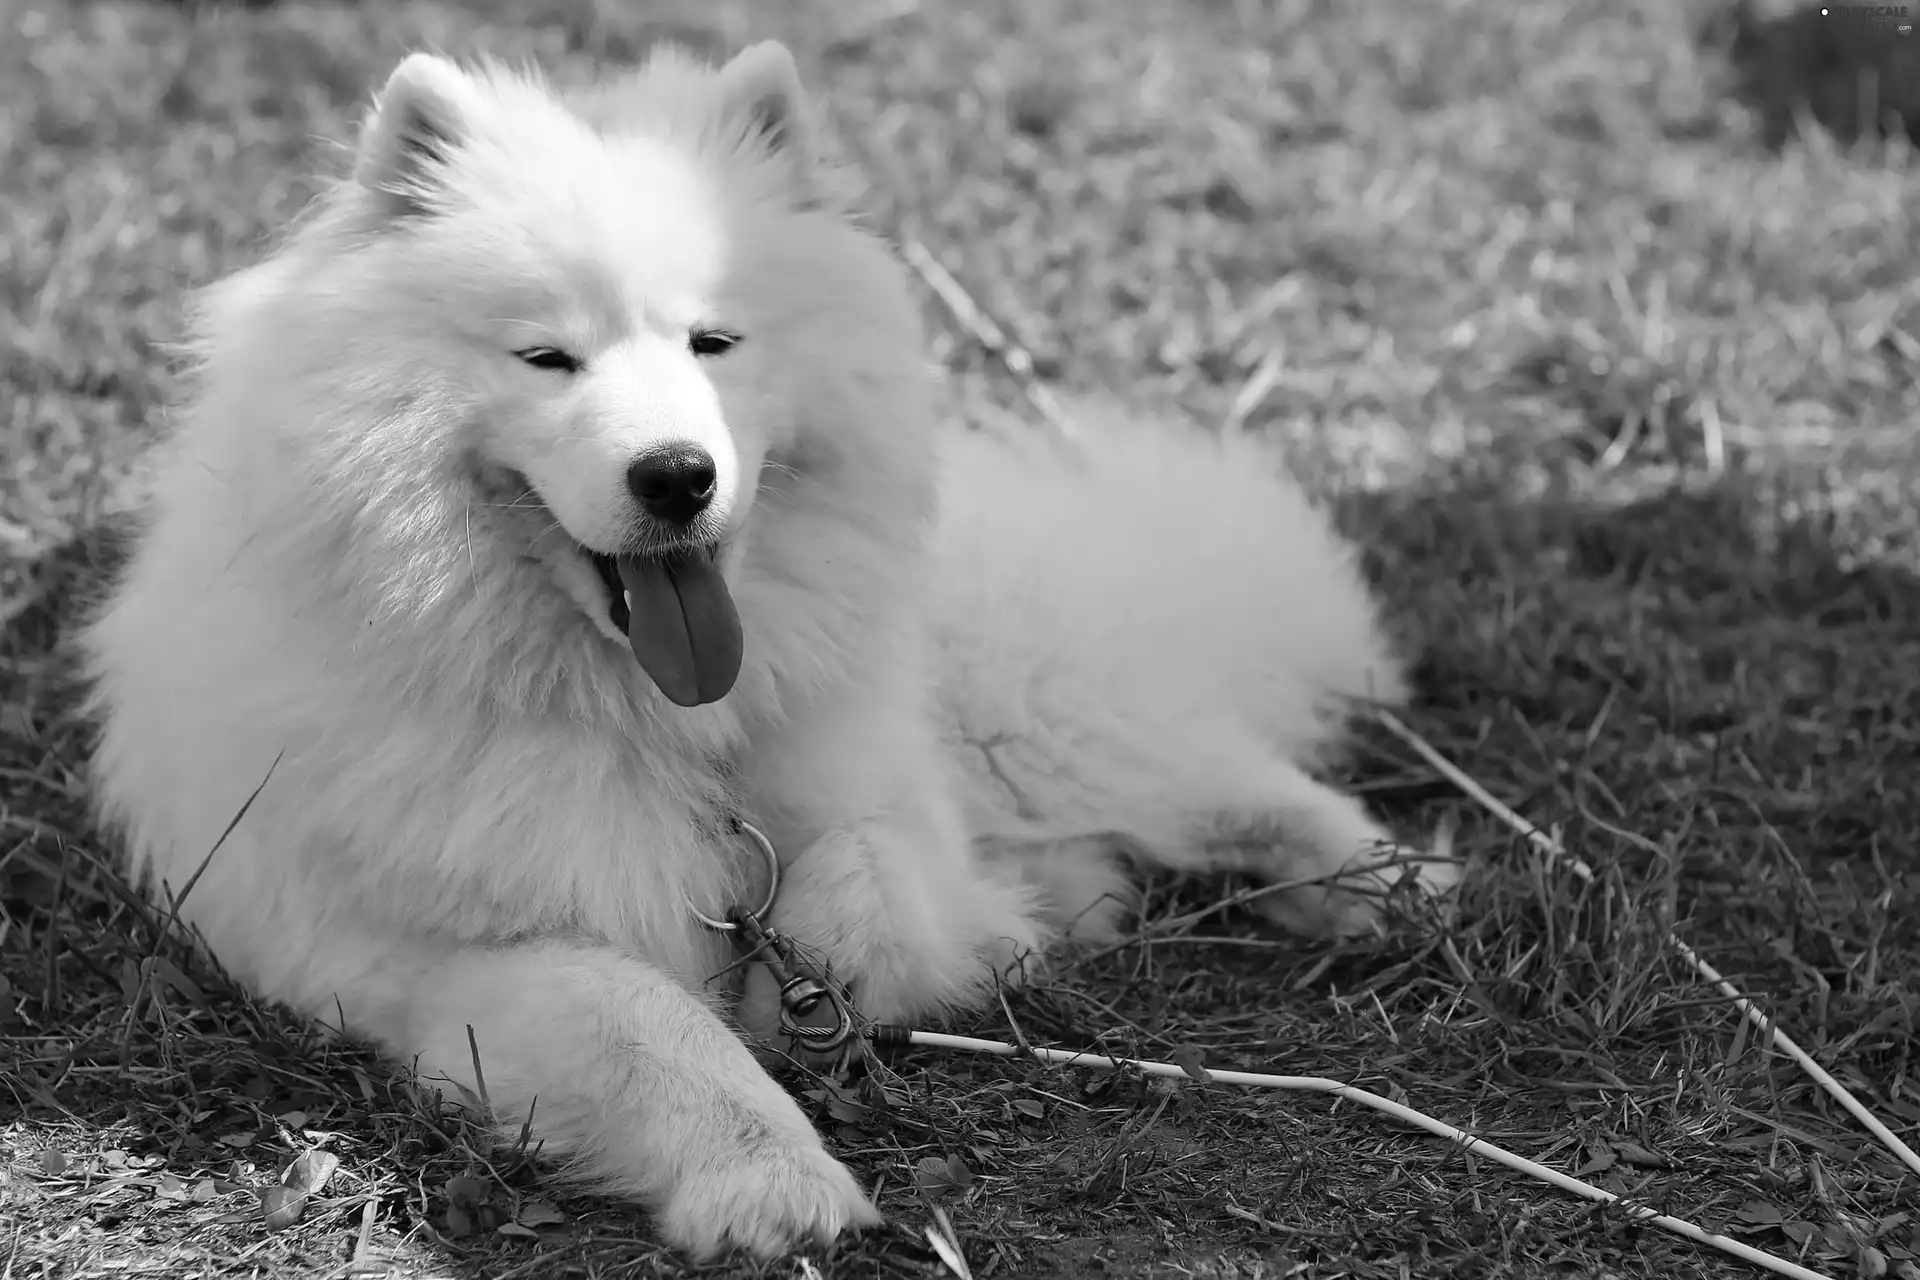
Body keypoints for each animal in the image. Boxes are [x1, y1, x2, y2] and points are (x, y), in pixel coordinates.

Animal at [78, 40, 1451, 1258]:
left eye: (714, 342)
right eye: (548, 356)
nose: (678, 475)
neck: (655, 720)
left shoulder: (887, 799)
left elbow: (863, 884)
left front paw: (825, 988)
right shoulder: (440, 958)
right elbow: (652, 1025)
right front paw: (771, 1178)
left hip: (1035, 714)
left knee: (1239, 786)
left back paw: (1388, 886)